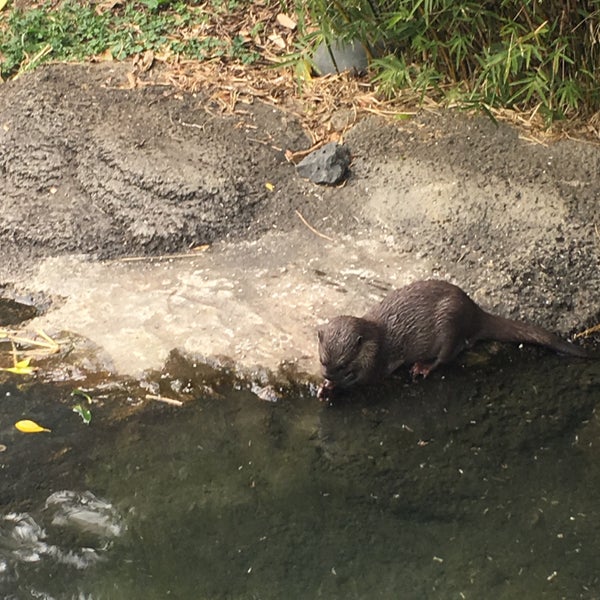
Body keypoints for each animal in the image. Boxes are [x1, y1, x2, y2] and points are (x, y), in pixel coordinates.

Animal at [318, 280, 592, 398]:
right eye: (323, 361)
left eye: (342, 364)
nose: (327, 374)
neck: (376, 339)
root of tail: (475, 311)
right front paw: (326, 386)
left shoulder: (376, 362)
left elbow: (365, 380)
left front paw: (334, 385)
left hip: (449, 323)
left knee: (449, 354)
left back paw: (423, 367)